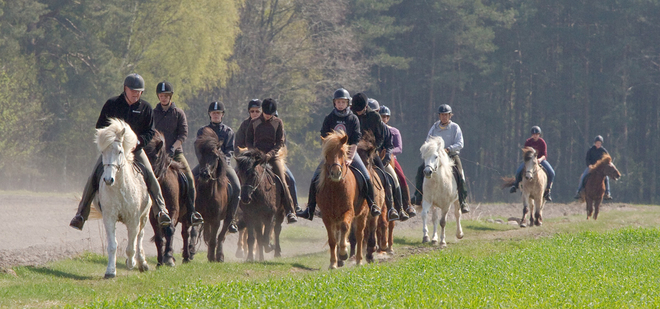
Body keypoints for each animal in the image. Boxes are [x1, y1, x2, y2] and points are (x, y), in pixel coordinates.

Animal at [94, 117, 151, 276]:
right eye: (102, 152)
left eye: (119, 151)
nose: (108, 180)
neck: (120, 188)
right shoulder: (109, 217)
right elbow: (112, 245)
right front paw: (110, 271)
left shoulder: (133, 219)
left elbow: (131, 246)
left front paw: (131, 263)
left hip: (144, 217)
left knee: (140, 237)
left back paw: (142, 263)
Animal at [144, 131, 197, 266]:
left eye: (155, 157)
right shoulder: (154, 215)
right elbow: (158, 236)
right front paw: (160, 261)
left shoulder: (173, 210)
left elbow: (170, 230)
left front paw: (168, 257)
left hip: (186, 216)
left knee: (185, 233)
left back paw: (185, 257)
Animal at [193, 126, 229, 262]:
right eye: (201, 154)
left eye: (215, 156)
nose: (204, 174)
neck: (207, 194)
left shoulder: (216, 220)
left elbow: (214, 238)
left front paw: (213, 257)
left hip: (227, 219)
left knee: (221, 236)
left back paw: (219, 256)